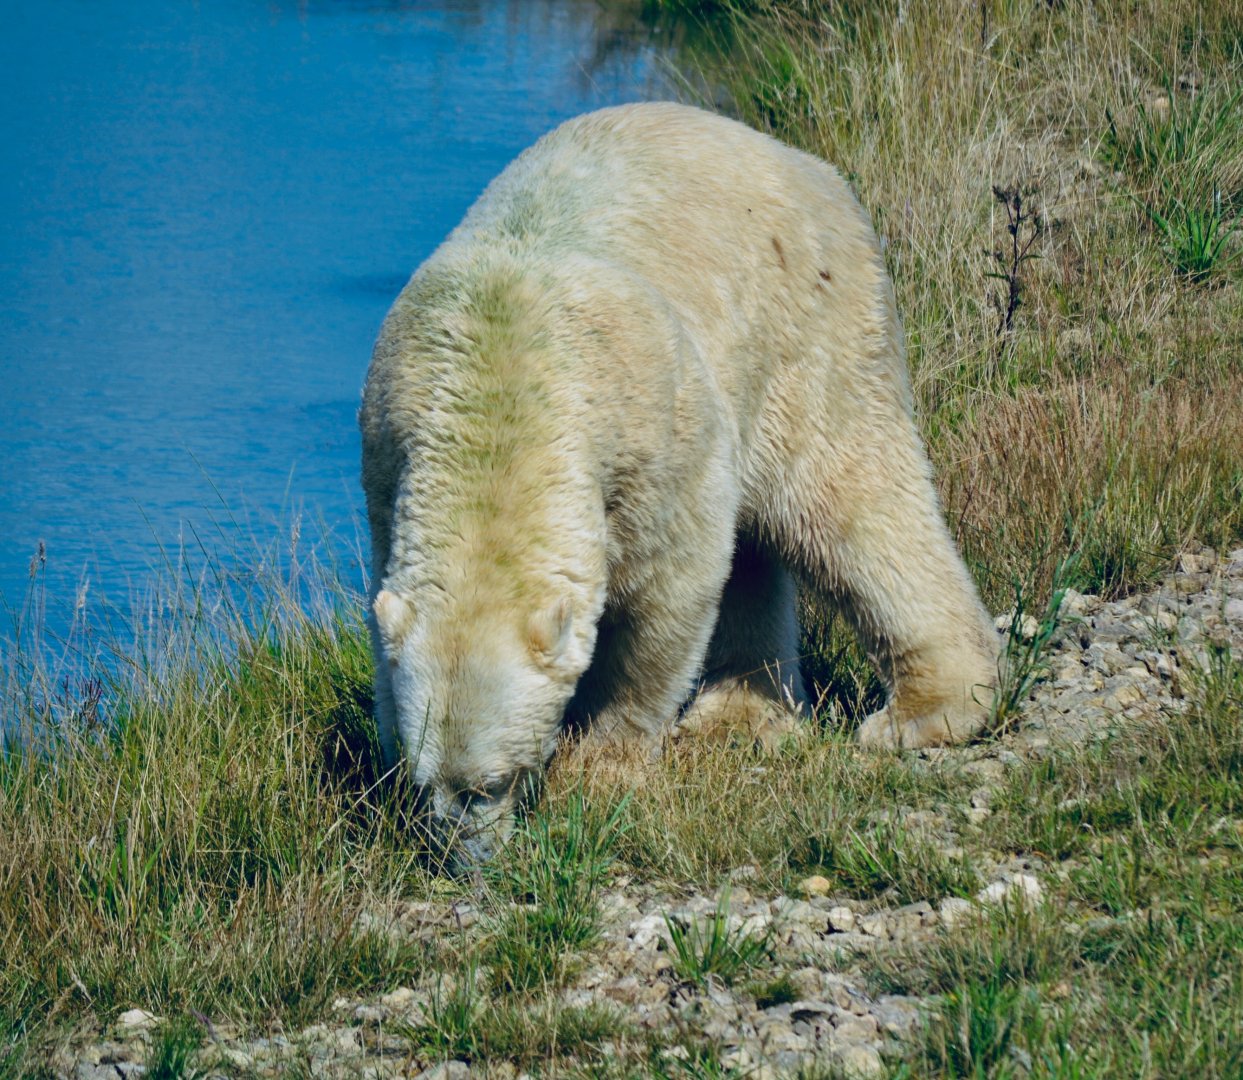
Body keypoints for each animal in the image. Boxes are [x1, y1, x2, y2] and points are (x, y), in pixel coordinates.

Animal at [359, 102, 998, 867]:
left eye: (493, 783)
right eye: (427, 782)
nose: (467, 863)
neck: (501, 384)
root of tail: (799, 158)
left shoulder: (646, 431)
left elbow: (670, 587)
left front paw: (602, 766)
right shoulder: (387, 457)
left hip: (805, 330)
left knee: (848, 503)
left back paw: (925, 712)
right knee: (759, 549)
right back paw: (740, 717)